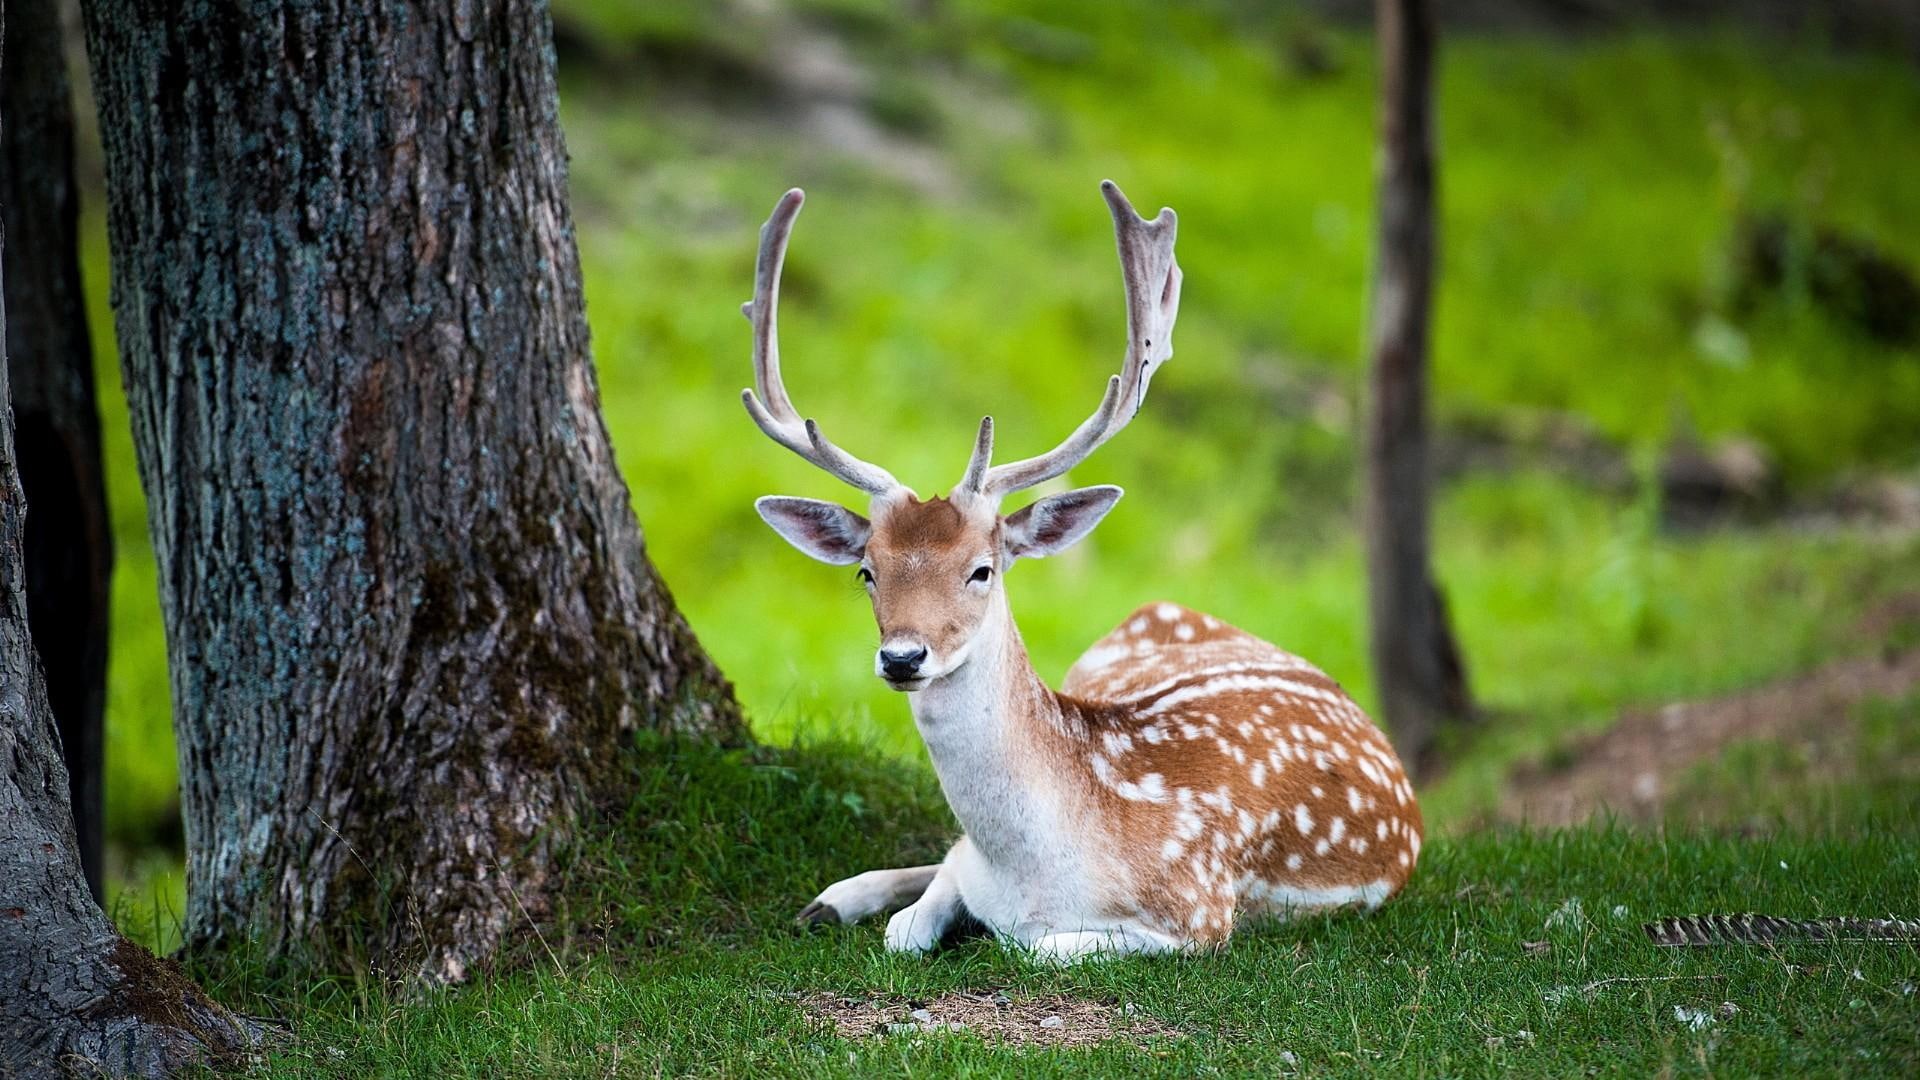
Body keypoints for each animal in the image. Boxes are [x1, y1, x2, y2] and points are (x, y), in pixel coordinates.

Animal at [741, 182, 1422, 962]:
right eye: (867, 571)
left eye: (982, 570)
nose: (903, 657)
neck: (1035, 868)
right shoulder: (969, 866)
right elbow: (910, 923)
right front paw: (861, 903)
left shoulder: (1199, 914)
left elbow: (1031, 945)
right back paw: (831, 899)